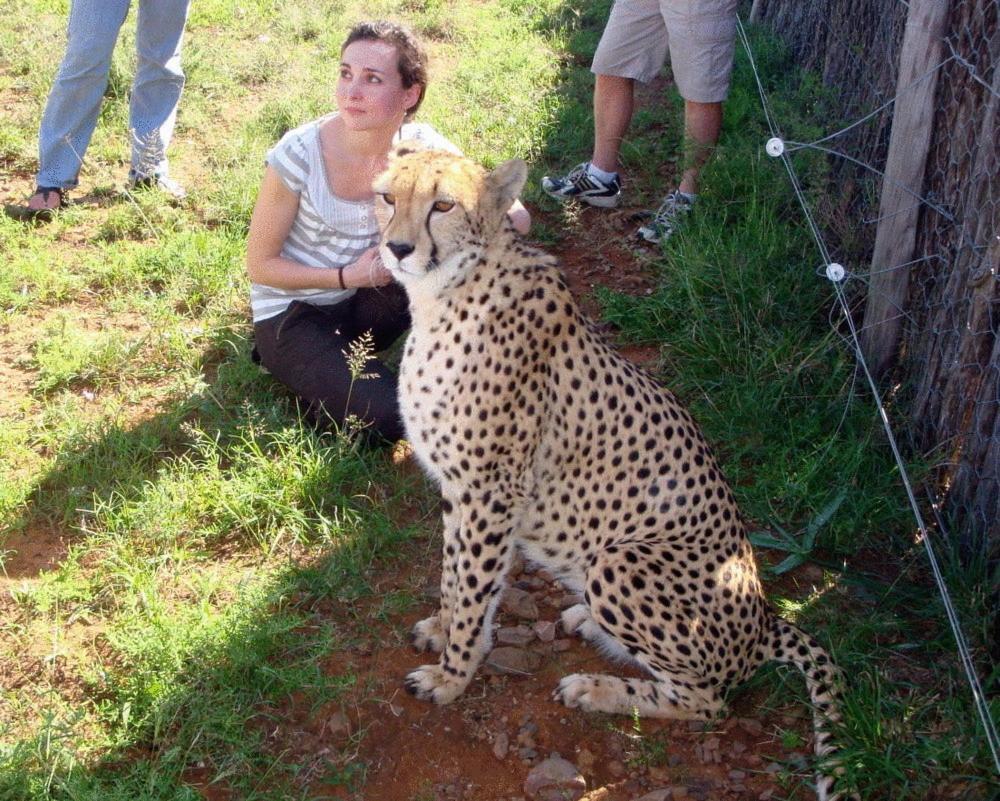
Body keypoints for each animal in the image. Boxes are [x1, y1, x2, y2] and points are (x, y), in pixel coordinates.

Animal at [372, 145, 856, 800]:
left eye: (443, 204)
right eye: (387, 197)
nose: (396, 248)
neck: (446, 291)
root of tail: (762, 622)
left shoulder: (490, 493)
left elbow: (473, 590)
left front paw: (451, 677)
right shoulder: (460, 491)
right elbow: (454, 577)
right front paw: (442, 630)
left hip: (620, 560)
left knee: (709, 701)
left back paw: (593, 688)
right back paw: (585, 621)